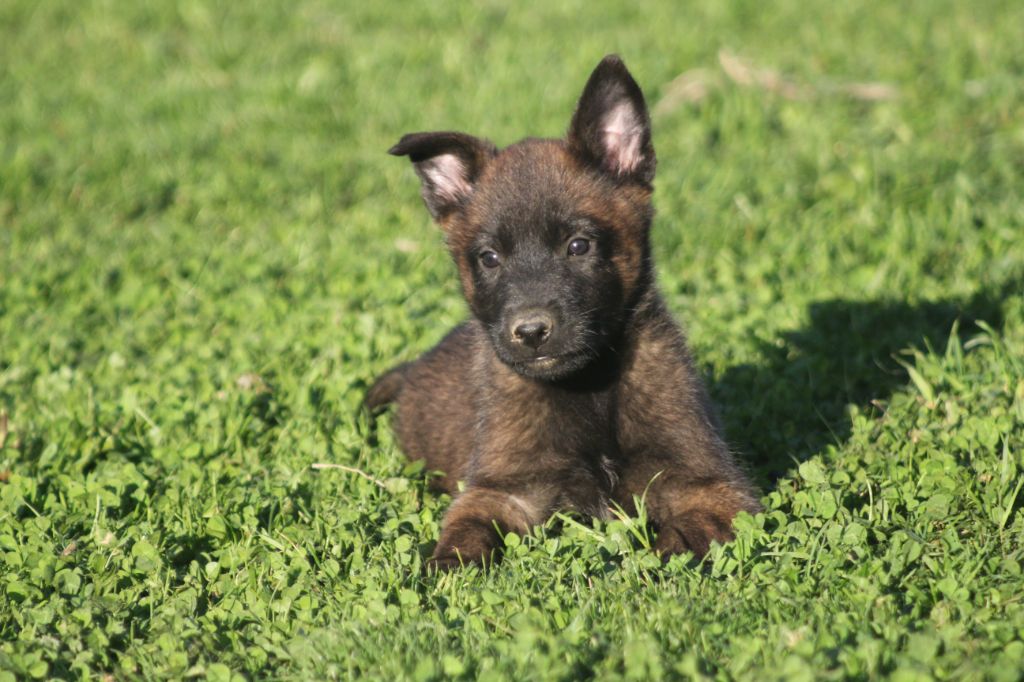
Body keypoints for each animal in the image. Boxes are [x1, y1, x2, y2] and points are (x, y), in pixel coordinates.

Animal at [368, 54, 761, 569]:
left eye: (578, 246)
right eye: (489, 258)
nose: (531, 331)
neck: (588, 389)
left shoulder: (710, 484)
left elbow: (694, 530)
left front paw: (666, 555)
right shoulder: (504, 489)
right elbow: (466, 530)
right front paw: (444, 567)